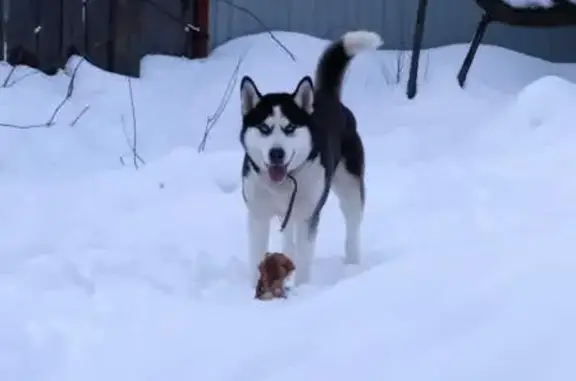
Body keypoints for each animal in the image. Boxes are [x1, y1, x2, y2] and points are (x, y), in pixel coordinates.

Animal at [238, 29, 382, 284]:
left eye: (290, 128)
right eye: (264, 128)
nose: (277, 153)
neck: (283, 183)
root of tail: (326, 96)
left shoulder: (308, 216)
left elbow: (305, 259)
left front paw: (302, 289)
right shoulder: (258, 215)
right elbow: (258, 255)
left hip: (350, 189)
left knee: (352, 228)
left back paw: (352, 266)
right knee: (288, 241)